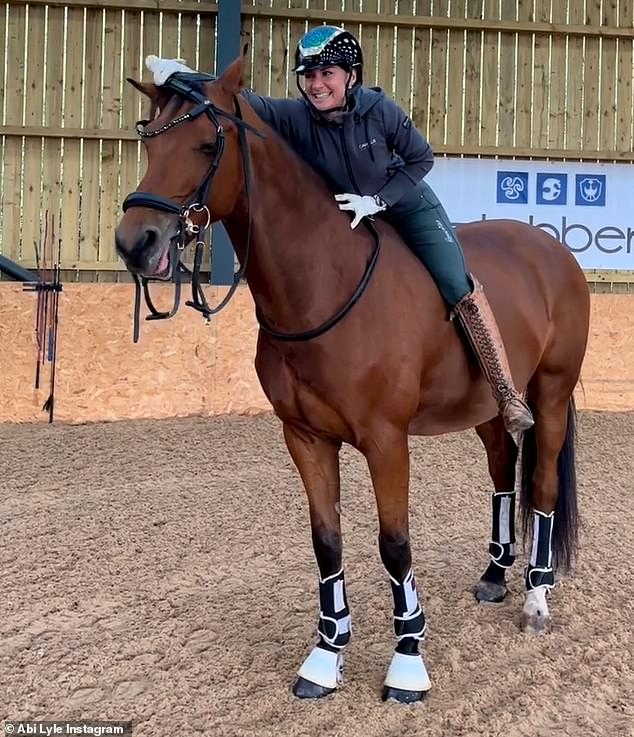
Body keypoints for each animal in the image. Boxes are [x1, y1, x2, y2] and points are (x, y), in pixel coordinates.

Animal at [115, 54, 590, 703]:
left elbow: (394, 544)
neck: (325, 282)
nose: (135, 242)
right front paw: (325, 654)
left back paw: (537, 598)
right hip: (488, 407)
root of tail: (551, 250)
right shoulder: (306, 438)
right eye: (149, 142)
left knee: (540, 487)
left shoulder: (386, 442)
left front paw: (408, 662)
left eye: (208, 144)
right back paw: (496, 573)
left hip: (552, 394)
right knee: (501, 472)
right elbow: (326, 542)